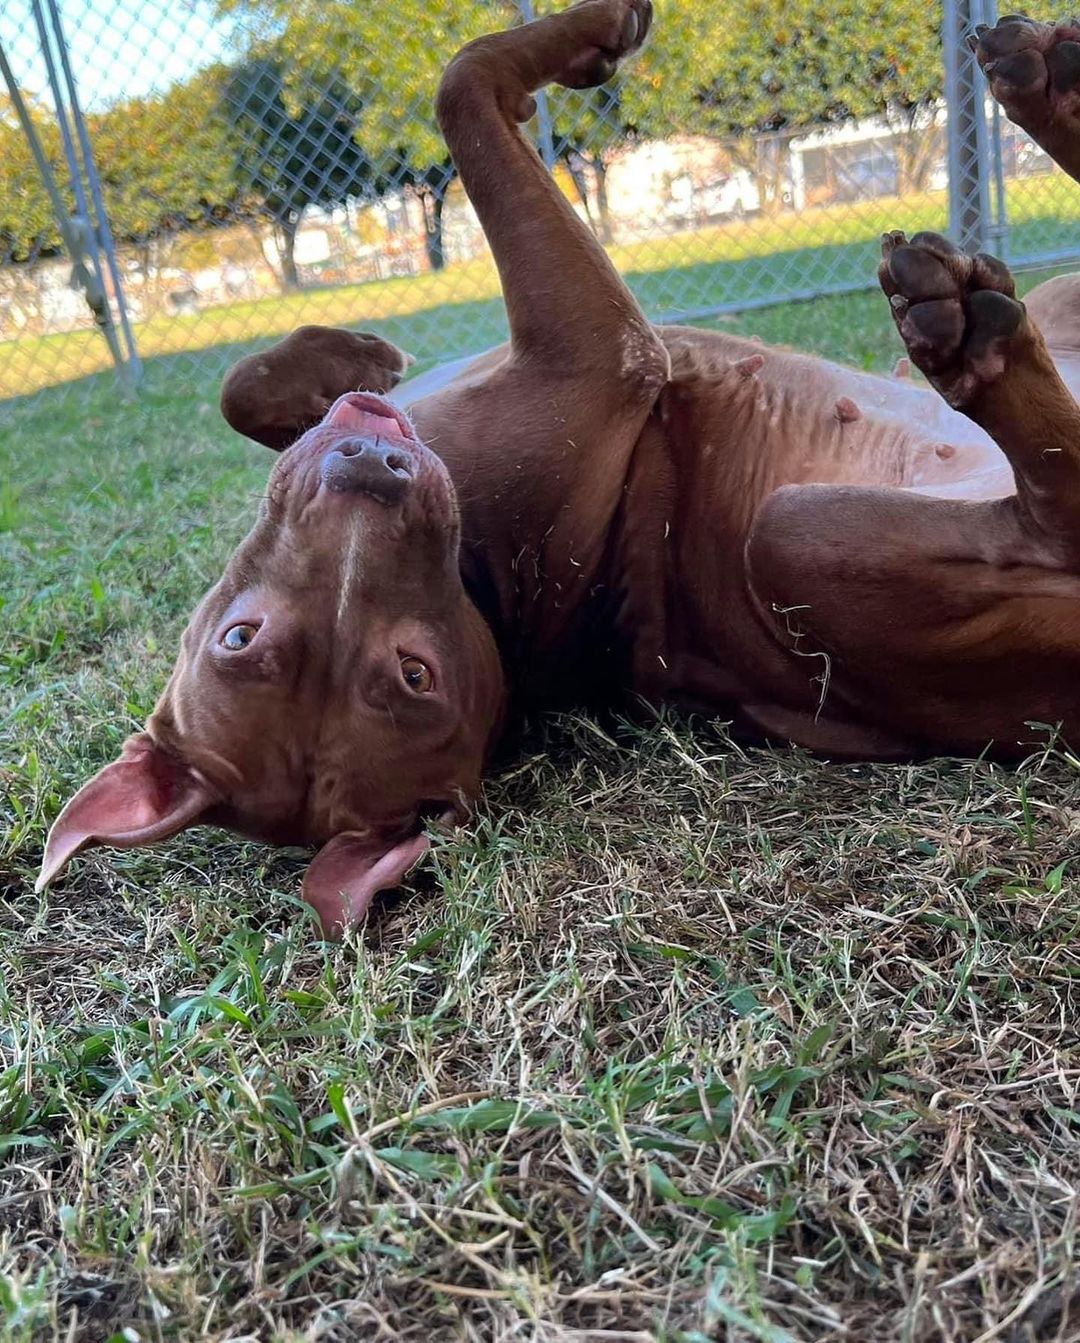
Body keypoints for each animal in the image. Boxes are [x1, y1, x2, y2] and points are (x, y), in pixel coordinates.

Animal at [40, 5, 1080, 934]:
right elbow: (459, 80)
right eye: (414, 674)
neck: (483, 591)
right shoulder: (601, 348)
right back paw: (970, 336)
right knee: (1050, 506)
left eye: (235, 637)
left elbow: (240, 387)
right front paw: (593, 34)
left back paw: (1043, 86)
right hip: (796, 536)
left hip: (1053, 312)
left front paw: (341, 354)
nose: (375, 469)